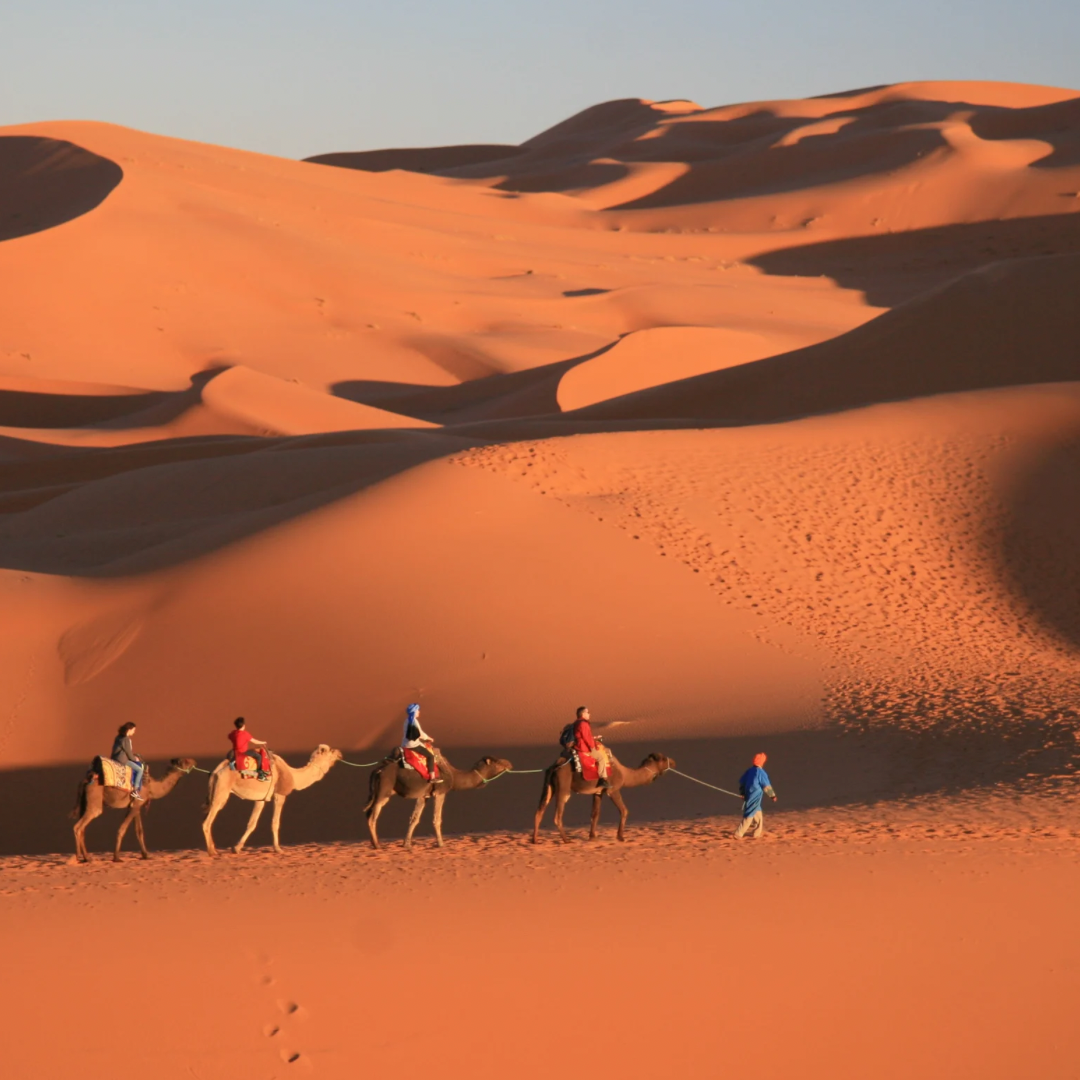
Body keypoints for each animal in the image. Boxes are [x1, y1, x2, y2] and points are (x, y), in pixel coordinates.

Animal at [200, 743, 339, 851]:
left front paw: (237, 848)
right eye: (331, 751)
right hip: (222, 790)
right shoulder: (280, 794)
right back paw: (212, 851)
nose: (339, 753)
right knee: (207, 822)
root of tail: (216, 771)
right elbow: (275, 822)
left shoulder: (260, 799)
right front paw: (278, 849)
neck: (294, 776)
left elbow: (252, 823)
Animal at [365, 747, 511, 846]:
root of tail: (377, 770)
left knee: (368, 813)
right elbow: (437, 819)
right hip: (384, 791)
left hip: (376, 793)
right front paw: (441, 844)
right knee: (372, 816)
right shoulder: (441, 792)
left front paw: (407, 844)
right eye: (497, 763)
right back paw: (377, 845)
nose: (510, 763)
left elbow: (414, 818)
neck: (454, 775)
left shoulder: (424, 795)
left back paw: (374, 843)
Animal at [533, 751, 673, 842]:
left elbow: (595, 814)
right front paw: (620, 837)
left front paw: (592, 836)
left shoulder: (598, 792)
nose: (673, 762)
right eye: (662, 759)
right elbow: (624, 810)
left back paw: (535, 840)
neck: (624, 774)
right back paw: (566, 840)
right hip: (563, 785)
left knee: (540, 810)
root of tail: (556, 765)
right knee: (557, 815)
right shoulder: (613, 789)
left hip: (549, 786)